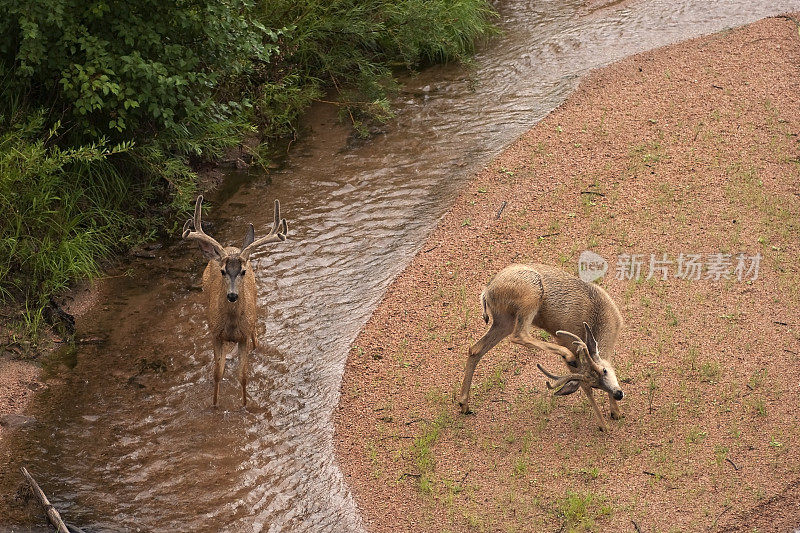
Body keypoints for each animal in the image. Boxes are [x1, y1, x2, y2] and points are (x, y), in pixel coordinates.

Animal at [182, 195, 288, 408]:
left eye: (243, 271)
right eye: (223, 271)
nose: (232, 296)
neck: (231, 326)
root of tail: (232, 247)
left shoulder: (244, 336)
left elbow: (243, 376)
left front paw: (245, 405)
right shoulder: (215, 334)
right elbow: (217, 373)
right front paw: (215, 405)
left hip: (254, 309)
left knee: (255, 335)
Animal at [456, 264, 624, 430]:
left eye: (604, 371)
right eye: (595, 384)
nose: (618, 394)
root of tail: (486, 292)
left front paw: (615, 412)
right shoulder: (566, 342)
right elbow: (584, 386)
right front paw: (604, 424)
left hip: (504, 320)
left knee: (475, 349)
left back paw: (464, 405)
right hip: (530, 296)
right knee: (519, 335)